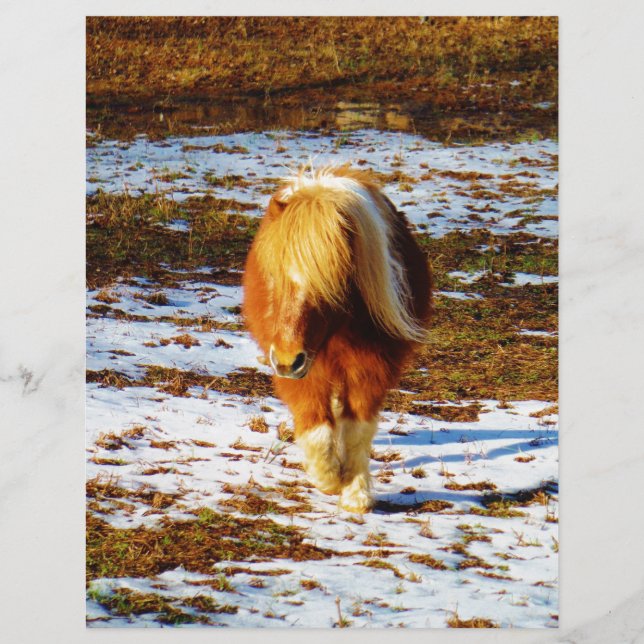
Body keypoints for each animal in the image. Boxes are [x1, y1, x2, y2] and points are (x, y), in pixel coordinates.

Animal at [242, 164, 432, 513]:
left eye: (330, 285)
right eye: (273, 277)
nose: (288, 360)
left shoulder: (372, 369)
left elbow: (357, 430)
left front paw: (356, 493)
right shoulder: (302, 371)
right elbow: (316, 426)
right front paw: (328, 477)